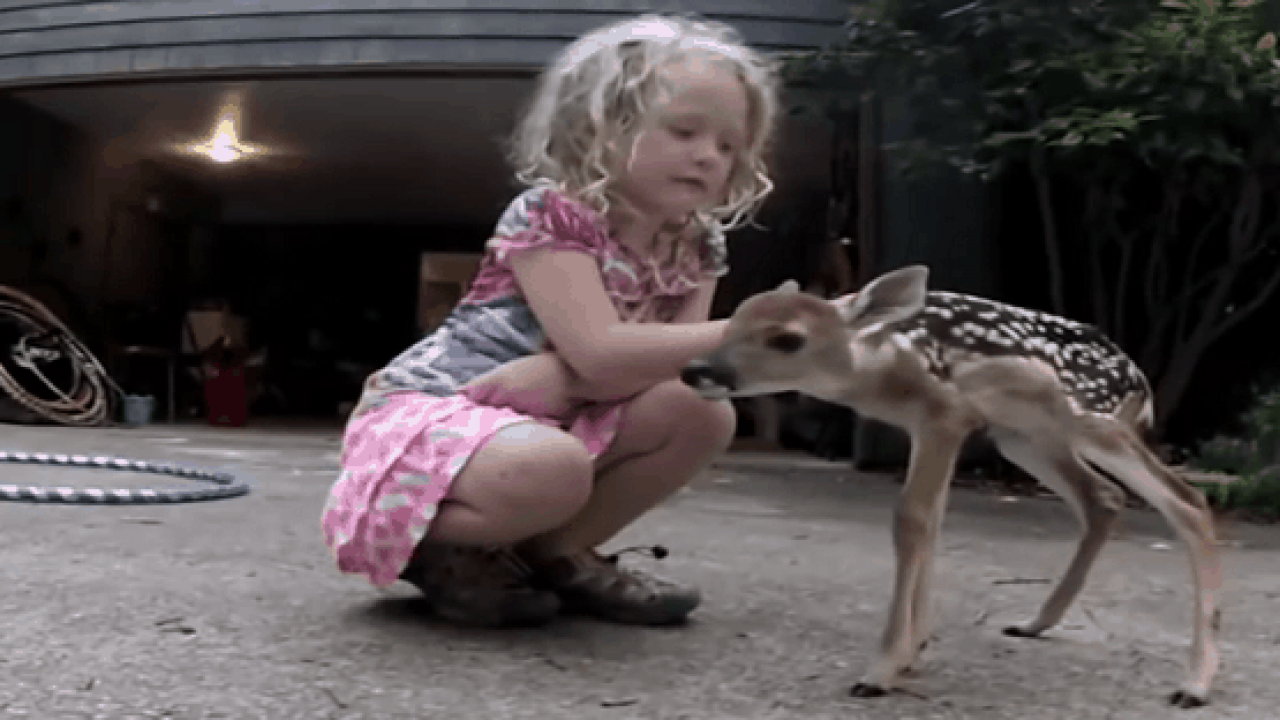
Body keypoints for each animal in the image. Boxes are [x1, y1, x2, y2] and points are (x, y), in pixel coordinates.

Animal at [686, 265, 1223, 707]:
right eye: (730, 322)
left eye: (788, 339)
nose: (699, 369)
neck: (883, 366)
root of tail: (1141, 383)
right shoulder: (935, 428)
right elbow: (933, 521)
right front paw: (912, 651)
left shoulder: (945, 416)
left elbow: (911, 520)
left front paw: (880, 671)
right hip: (1024, 437)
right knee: (1103, 497)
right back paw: (1035, 622)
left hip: (1093, 419)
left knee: (1188, 502)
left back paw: (1194, 685)